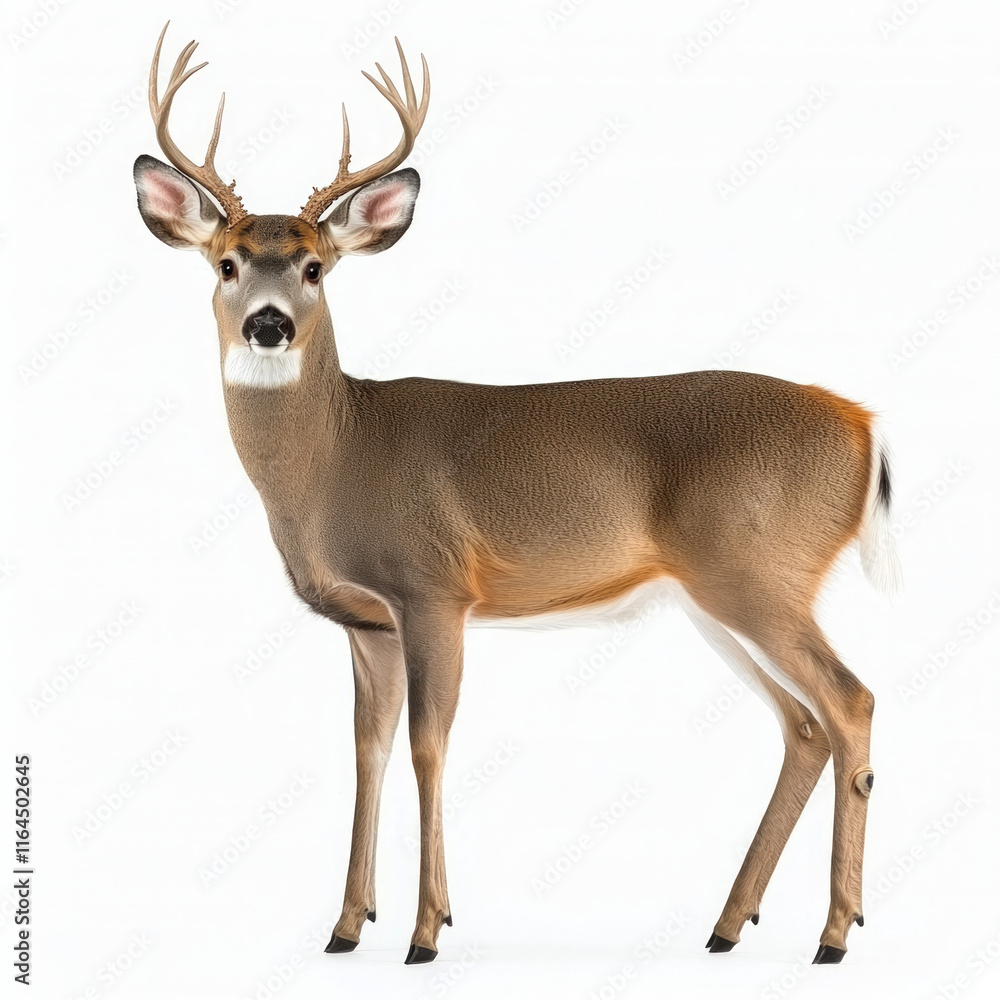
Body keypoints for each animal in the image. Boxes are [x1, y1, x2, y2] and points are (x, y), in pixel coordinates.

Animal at [133, 23, 901, 967]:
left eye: (315, 267)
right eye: (227, 262)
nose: (267, 323)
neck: (336, 459)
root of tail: (865, 426)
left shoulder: (433, 590)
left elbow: (428, 746)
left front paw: (427, 931)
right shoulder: (366, 621)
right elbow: (367, 750)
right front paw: (347, 926)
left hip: (758, 571)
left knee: (850, 701)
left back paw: (833, 933)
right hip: (719, 597)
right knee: (803, 725)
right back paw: (728, 926)